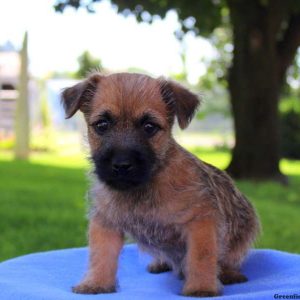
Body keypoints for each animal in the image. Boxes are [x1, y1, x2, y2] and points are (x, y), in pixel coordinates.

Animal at [62, 73, 258, 298]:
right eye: (102, 125)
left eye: (149, 127)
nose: (121, 165)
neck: (143, 187)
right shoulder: (106, 223)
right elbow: (101, 255)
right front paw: (96, 283)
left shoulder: (201, 222)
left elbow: (201, 256)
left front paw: (201, 288)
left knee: (229, 259)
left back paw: (229, 274)